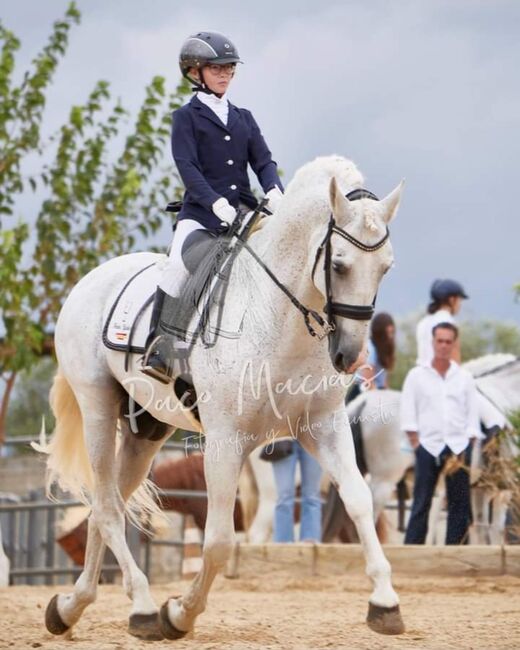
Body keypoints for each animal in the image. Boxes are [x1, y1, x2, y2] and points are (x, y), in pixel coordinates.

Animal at [40, 156, 406, 636]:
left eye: (386, 267)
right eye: (340, 265)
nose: (348, 355)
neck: (278, 317)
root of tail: (92, 279)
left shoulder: (322, 427)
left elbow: (359, 501)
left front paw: (384, 602)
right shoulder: (225, 441)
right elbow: (217, 541)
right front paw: (179, 613)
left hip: (146, 430)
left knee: (110, 505)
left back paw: (70, 606)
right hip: (98, 410)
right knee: (105, 506)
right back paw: (142, 606)